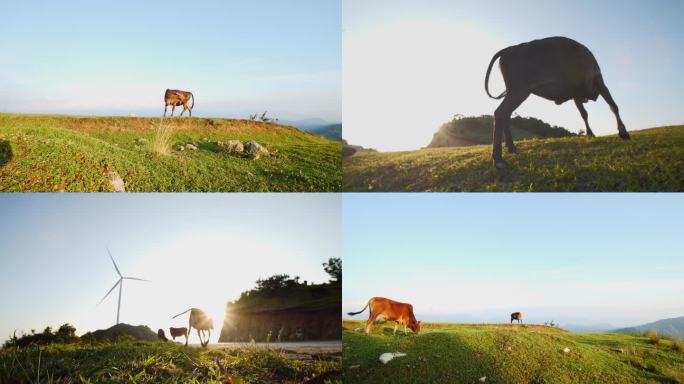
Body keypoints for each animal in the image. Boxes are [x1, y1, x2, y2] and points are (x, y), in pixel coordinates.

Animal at [484, 36, 628, 168]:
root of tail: (509, 49)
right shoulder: (599, 82)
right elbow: (613, 106)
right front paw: (623, 132)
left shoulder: (576, 95)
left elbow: (584, 114)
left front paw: (590, 134)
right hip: (518, 92)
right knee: (500, 113)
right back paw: (498, 159)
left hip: (515, 93)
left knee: (506, 115)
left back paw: (512, 148)